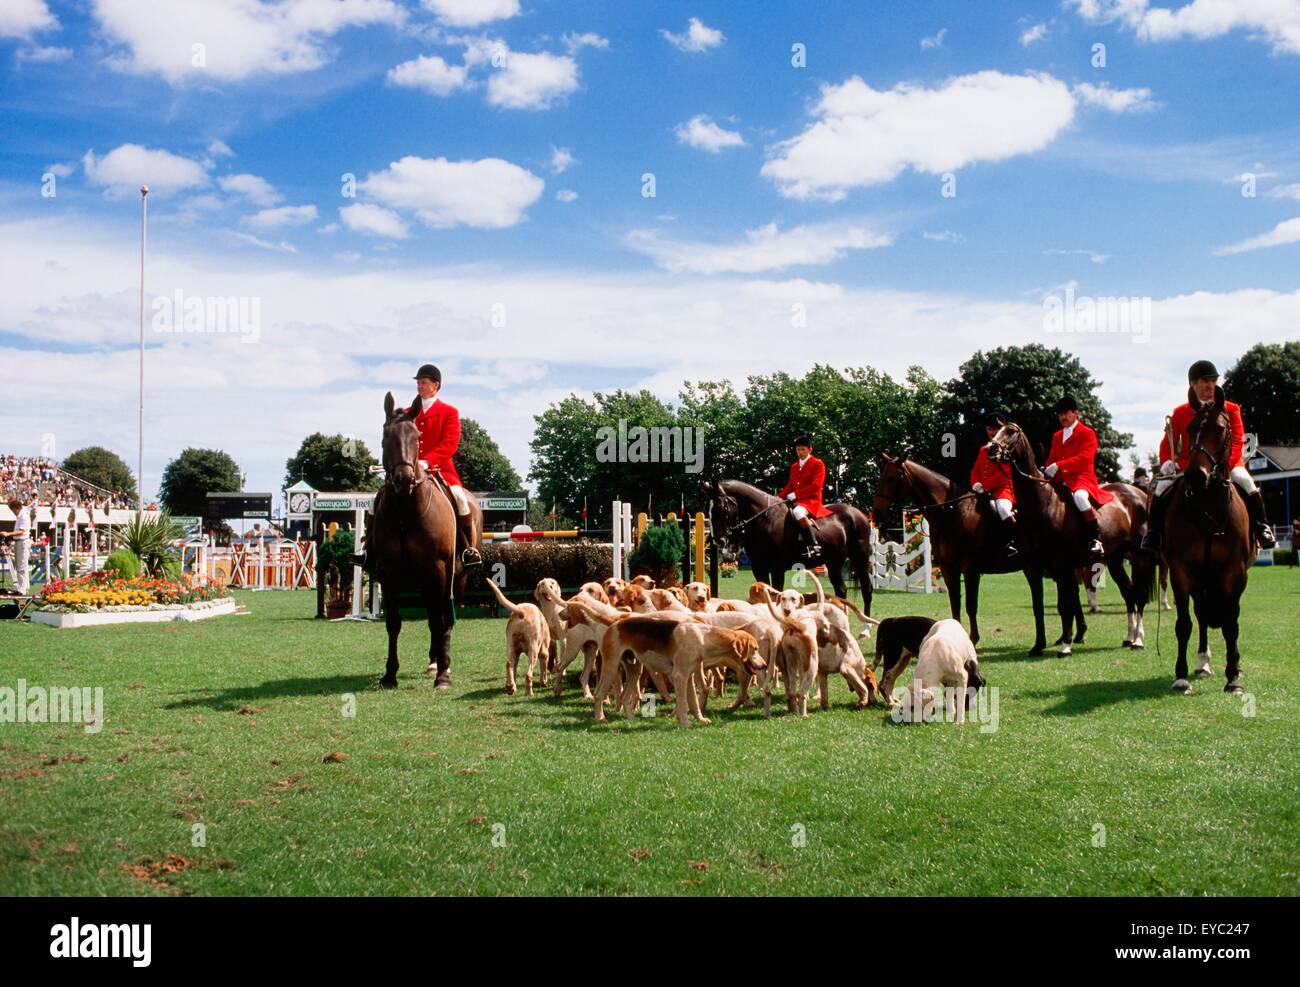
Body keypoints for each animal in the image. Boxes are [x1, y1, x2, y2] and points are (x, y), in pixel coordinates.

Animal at [371, 392, 462, 686]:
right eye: (386, 436)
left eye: (417, 437)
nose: (404, 479)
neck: (405, 511)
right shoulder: (389, 573)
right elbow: (393, 623)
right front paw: (390, 674)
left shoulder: (438, 569)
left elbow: (439, 620)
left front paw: (443, 674)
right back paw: (434, 661)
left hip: (451, 576)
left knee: (443, 617)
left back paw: (442, 664)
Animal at [707, 481, 878, 613]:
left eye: (720, 507)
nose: (718, 540)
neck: (765, 519)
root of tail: (859, 514)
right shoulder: (759, 567)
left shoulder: (777, 568)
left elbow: (776, 595)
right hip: (834, 562)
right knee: (841, 590)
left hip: (860, 559)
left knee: (867, 589)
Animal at [868, 455, 1050, 655]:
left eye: (891, 478)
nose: (876, 513)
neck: (952, 513)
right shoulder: (949, 569)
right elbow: (955, 602)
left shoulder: (970, 570)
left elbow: (971, 606)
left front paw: (973, 639)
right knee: (1039, 599)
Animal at [987, 423, 1154, 655]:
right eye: (996, 432)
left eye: (1011, 432)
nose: (990, 449)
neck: (1040, 505)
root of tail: (1138, 493)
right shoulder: (1033, 567)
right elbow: (1039, 605)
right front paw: (1038, 646)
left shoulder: (1061, 565)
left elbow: (1065, 604)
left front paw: (1066, 645)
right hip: (1114, 560)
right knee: (1128, 593)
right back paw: (1129, 638)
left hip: (1139, 557)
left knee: (1138, 594)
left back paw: (1138, 640)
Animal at [1164, 387, 1253, 697]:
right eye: (1191, 429)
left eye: (1220, 428)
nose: (1195, 476)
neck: (1208, 506)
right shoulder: (1181, 572)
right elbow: (1184, 624)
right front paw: (1180, 677)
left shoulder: (1234, 574)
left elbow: (1231, 625)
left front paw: (1233, 678)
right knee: (1201, 616)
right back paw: (1202, 663)